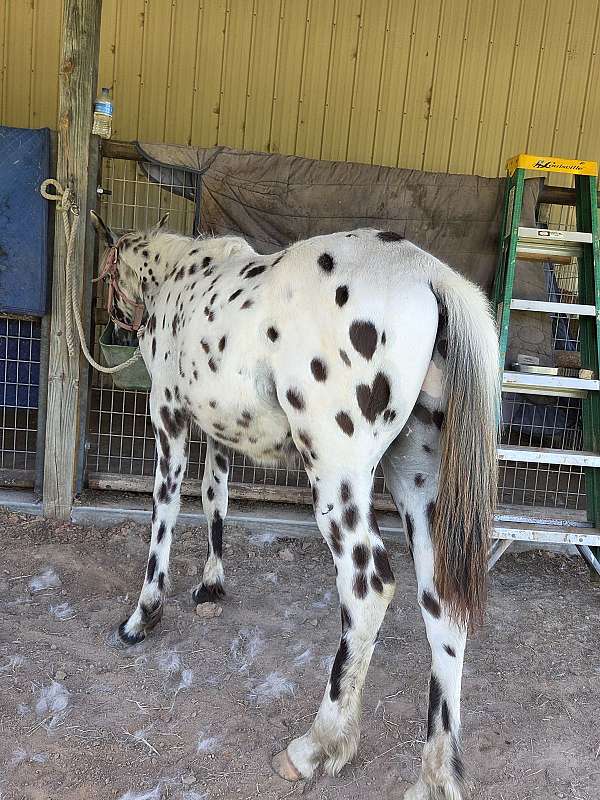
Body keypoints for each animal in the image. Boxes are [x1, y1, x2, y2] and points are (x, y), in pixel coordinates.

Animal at [91, 210, 499, 799]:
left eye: (106, 272)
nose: (115, 325)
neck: (180, 276)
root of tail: (430, 277)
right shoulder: (219, 431)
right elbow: (215, 497)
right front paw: (211, 584)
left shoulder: (168, 415)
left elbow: (164, 508)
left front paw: (143, 616)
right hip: (418, 481)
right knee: (442, 603)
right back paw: (436, 773)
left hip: (338, 479)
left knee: (368, 585)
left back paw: (318, 746)